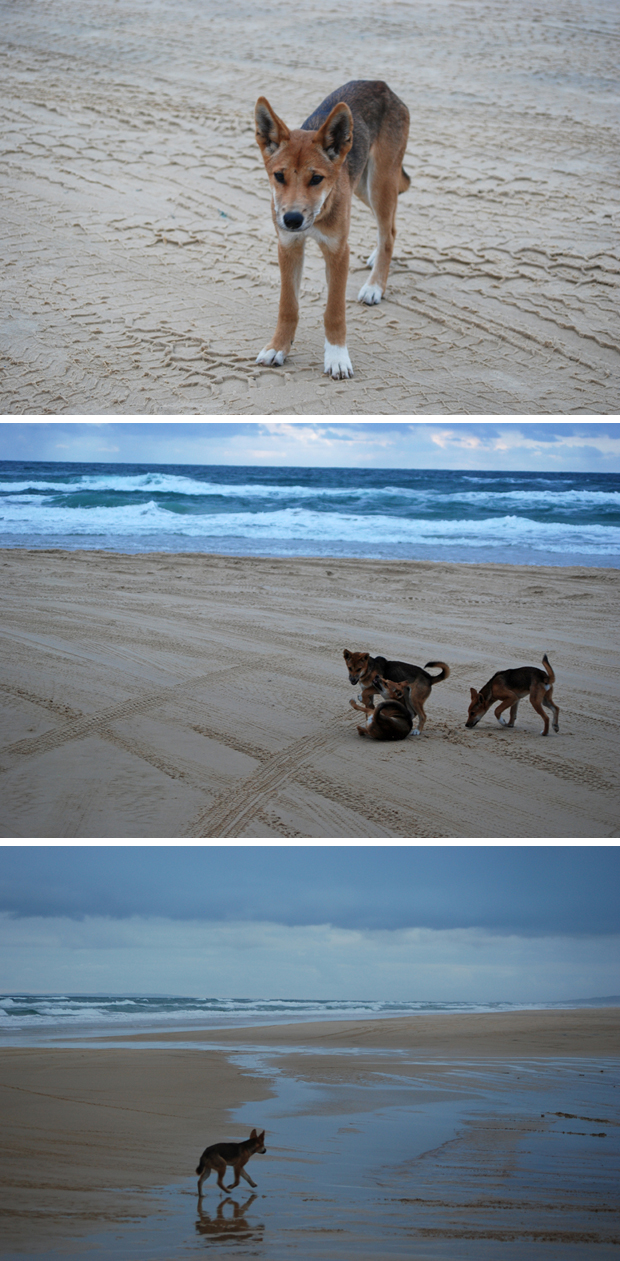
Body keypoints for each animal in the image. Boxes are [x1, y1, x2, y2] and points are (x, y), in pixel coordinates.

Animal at [254, 80, 408, 378]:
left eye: (316, 179)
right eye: (279, 176)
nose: (291, 219)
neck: (317, 215)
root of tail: (380, 85)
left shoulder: (337, 252)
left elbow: (334, 312)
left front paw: (337, 356)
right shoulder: (288, 247)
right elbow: (288, 307)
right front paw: (278, 347)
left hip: (379, 183)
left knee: (388, 233)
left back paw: (375, 285)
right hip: (362, 187)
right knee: (390, 228)